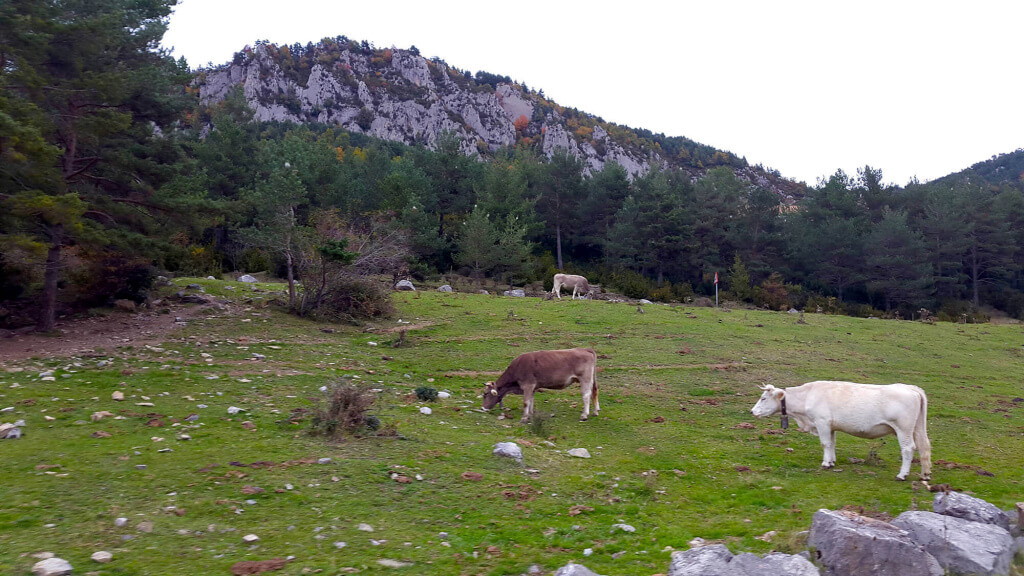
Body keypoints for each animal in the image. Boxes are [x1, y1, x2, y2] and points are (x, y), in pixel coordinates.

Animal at [750, 381, 931, 481]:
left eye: (763, 398)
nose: (752, 411)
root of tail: (911, 388)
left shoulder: (821, 422)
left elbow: (825, 443)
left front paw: (825, 464)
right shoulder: (831, 426)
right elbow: (832, 443)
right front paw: (831, 461)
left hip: (903, 429)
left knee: (908, 449)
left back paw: (902, 475)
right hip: (917, 428)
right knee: (924, 448)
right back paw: (925, 474)